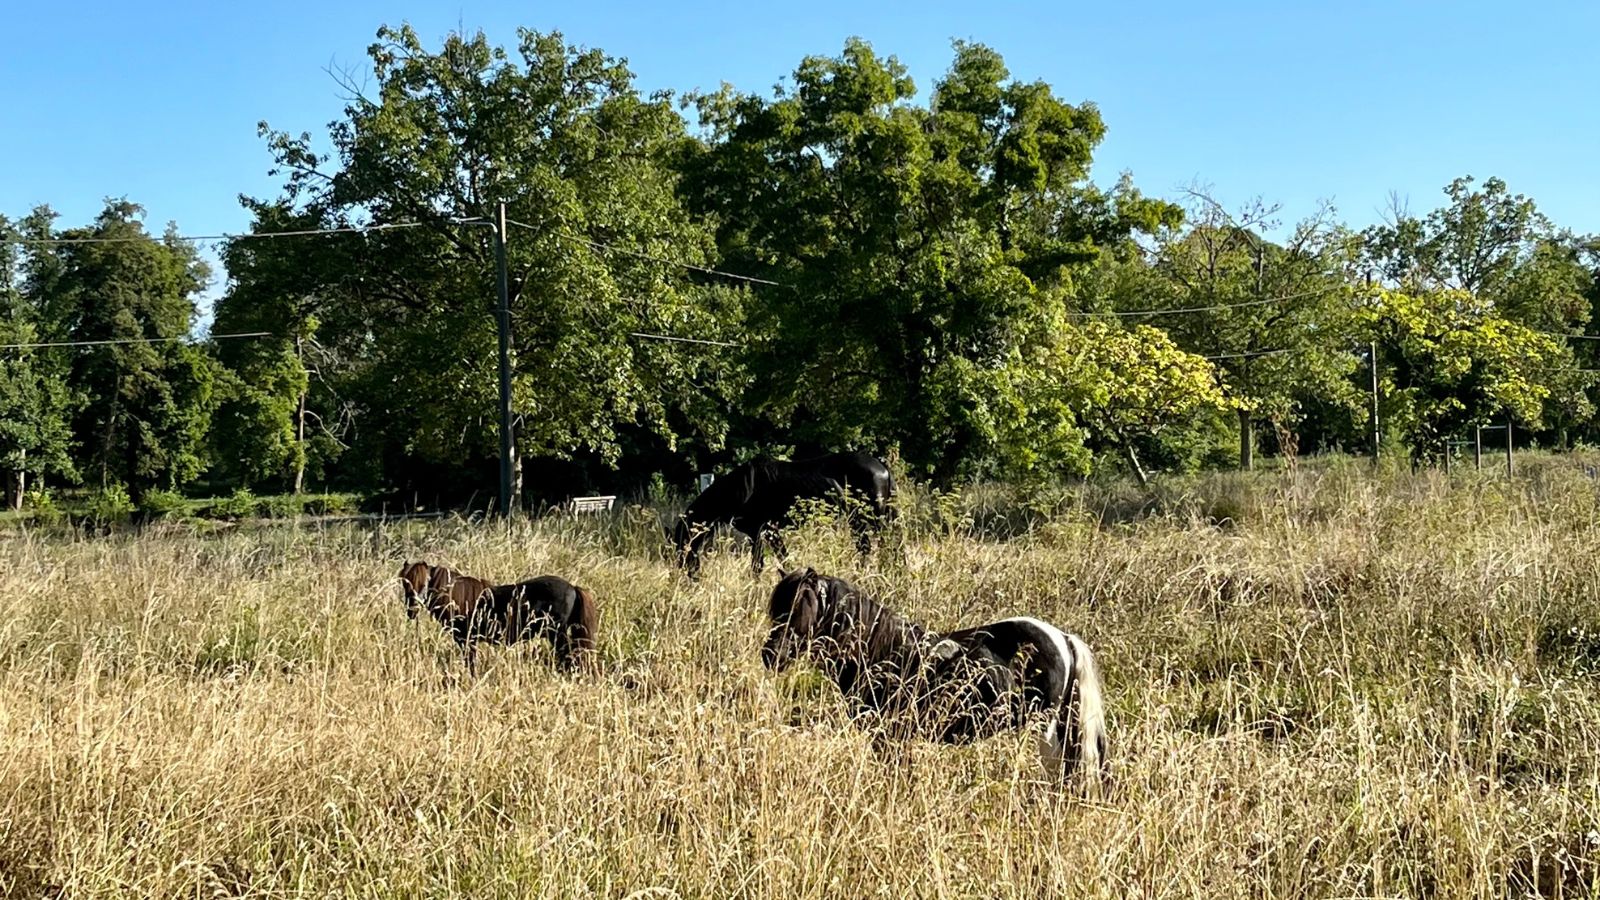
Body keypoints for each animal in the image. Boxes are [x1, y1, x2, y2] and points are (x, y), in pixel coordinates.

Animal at [400, 560, 601, 672]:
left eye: (424, 583)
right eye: (404, 583)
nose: (411, 610)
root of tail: (572, 587)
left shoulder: (466, 640)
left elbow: (470, 664)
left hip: (558, 635)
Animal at [672, 451, 902, 570]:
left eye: (683, 549)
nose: (689, 577)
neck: (743, 488)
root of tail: (882, 467)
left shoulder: (762, 531)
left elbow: (760, 565)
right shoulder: (765, 534)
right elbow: (782, 560)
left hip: (870, 518)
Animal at [761, 563, 1113, 787]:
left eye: (800, 605)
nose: (770, 656)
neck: (880, 652)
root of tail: (1061, 638)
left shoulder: (889, 736)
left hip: (1045, 728)